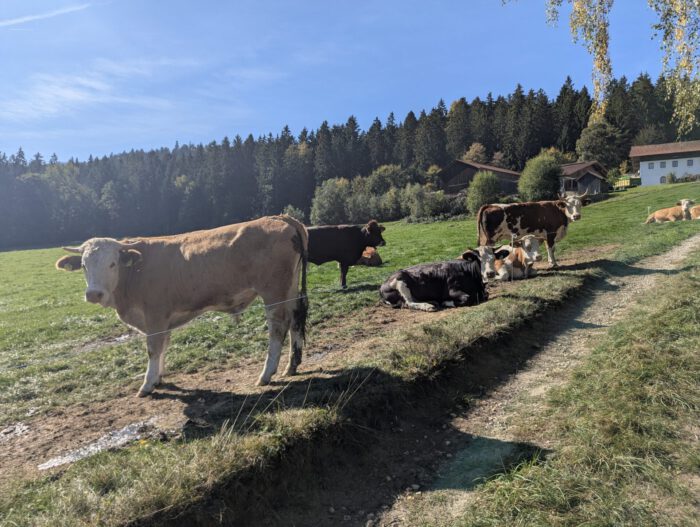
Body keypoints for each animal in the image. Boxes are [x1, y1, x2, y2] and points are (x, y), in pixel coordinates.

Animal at [55, 215, 308, 396]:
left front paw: (147, 384)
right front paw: (158, 378)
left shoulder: (155, 314)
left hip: (273, 291)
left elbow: (153, 348)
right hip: (289, 288)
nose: (94, 294)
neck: (134, 274)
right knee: (295, 319)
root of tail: (279, 217)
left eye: (112, 263)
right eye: (84, 265)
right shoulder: (162, 318)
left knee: (277, 327)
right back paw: (291, 366)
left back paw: (266, 374)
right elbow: (163, 345)